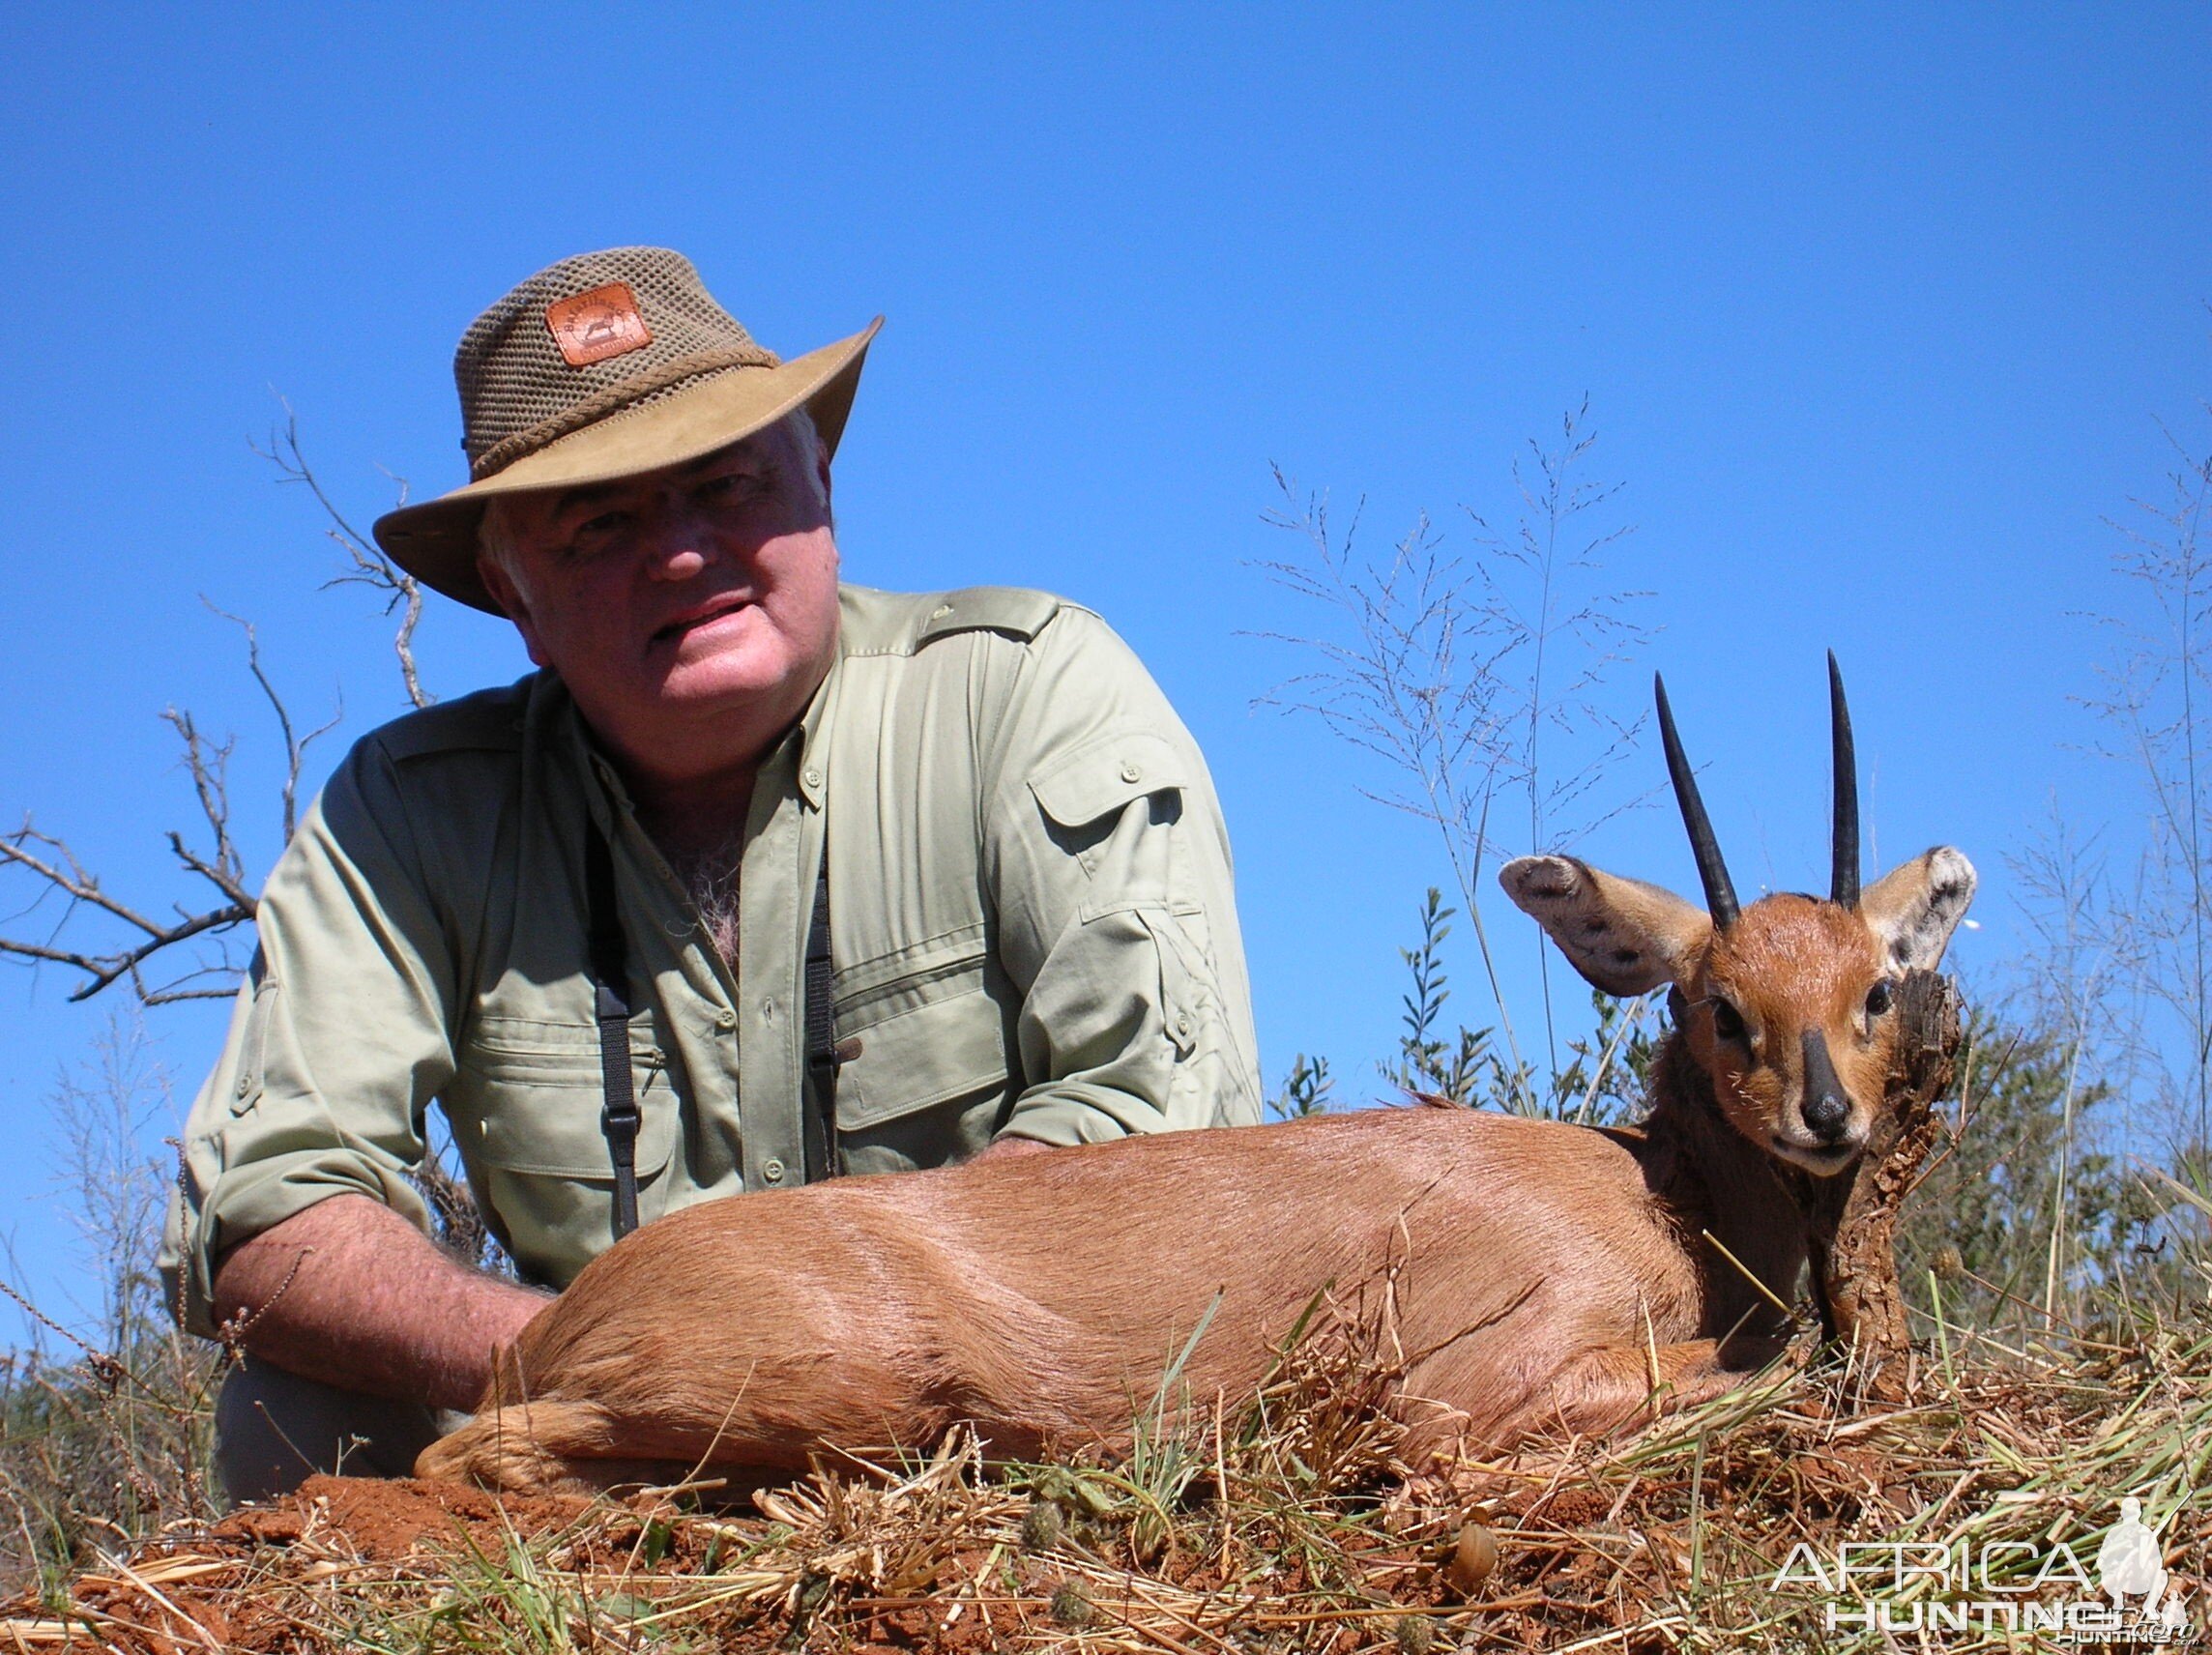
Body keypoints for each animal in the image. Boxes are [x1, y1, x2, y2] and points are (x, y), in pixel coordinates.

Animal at [416, 663, 1972, 1495]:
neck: (1663, 1204)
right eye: (1719, 1006)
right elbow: (1773, 1371)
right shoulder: (1471, 1390)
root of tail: (557, 1322)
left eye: (1872, 986)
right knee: (462, 1459)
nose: (1826, 1116)